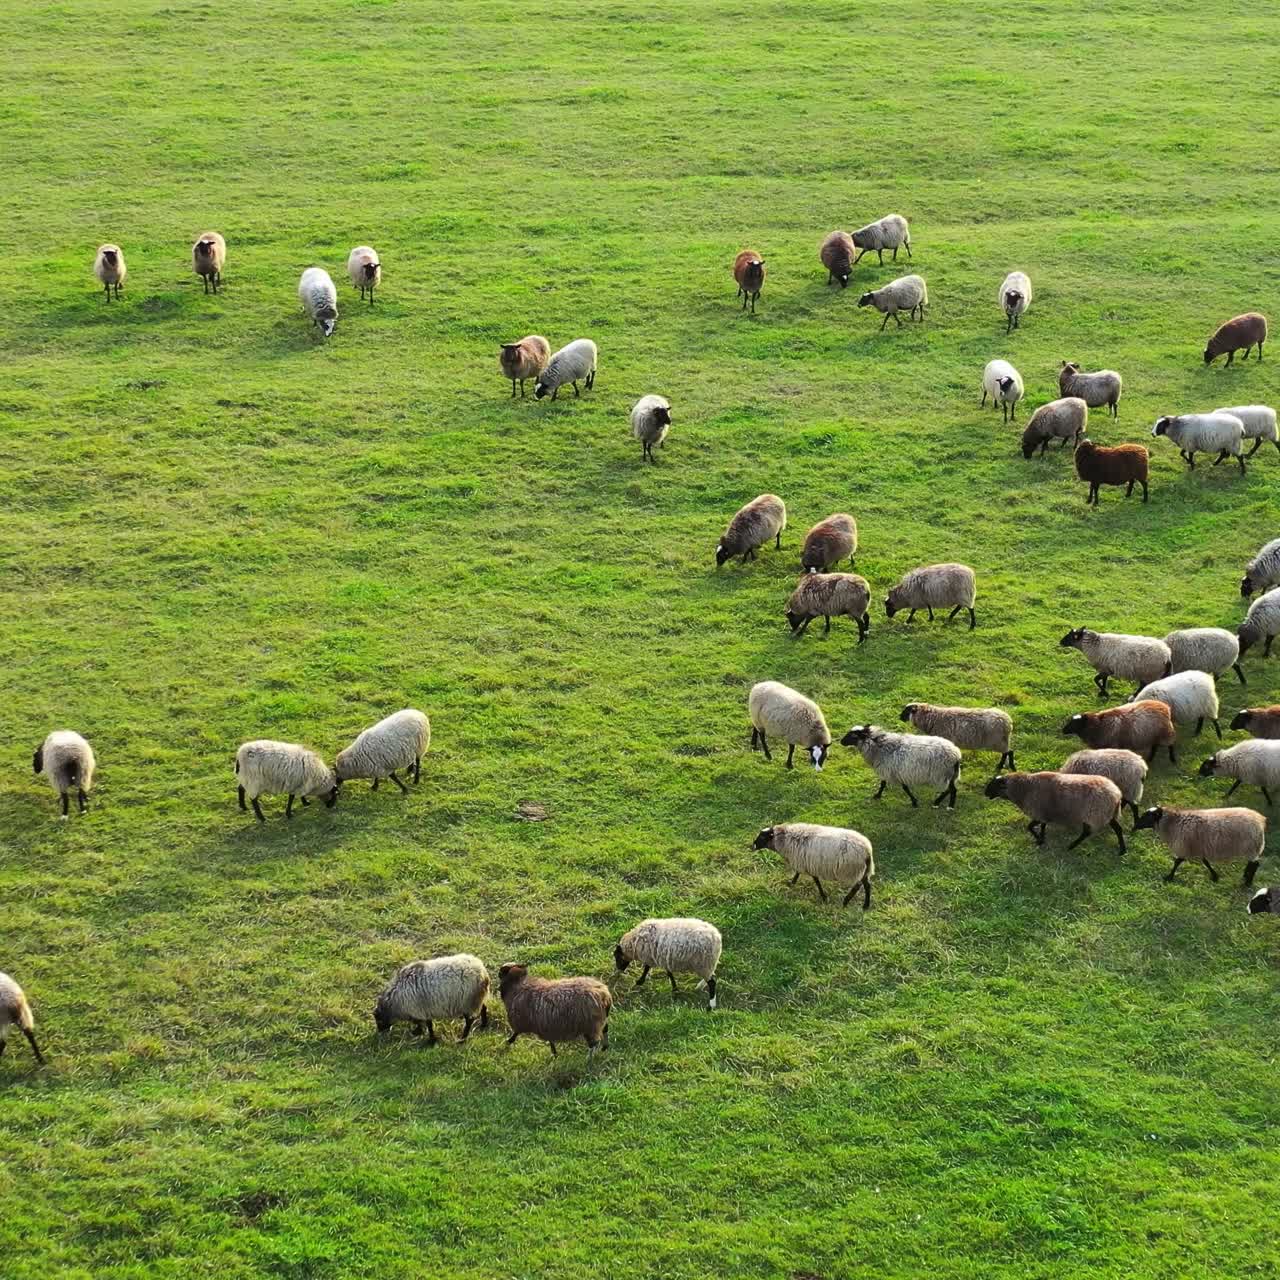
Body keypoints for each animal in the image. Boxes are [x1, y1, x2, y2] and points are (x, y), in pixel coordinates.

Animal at [985, 772, 1126, 853]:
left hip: (1094, 814)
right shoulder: (1044, 814)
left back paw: (1071, 846)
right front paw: (1041, 839)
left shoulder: (1038, 813)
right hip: (1107, 814)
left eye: (994, 785)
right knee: (1118, 829)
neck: (1023, 789)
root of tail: (1117, 794)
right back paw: (1122, 850)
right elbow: (1043, 826)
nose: (985, 793)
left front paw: (1039, 839)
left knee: (1086, 833)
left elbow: (1029, 827)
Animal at [1133, 806, 1266, 885]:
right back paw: (1245, 876)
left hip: (1250, 847)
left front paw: (1169, 877)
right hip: (1251, 848)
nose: (1134, 826)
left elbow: (1177, 862)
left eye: (1147, 816)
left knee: (1255, 864)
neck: (1173, 824)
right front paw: (1215, 876)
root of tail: (1260, 821)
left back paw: (1247, 882)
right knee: (1251, 863)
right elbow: (1205, 862)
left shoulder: (1184, 847)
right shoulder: (1200, 847)